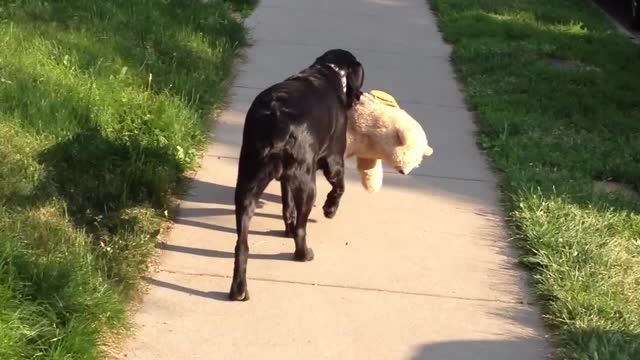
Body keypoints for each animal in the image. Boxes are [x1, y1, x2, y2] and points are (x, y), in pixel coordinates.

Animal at [230, 48, 362, 300]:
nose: (360, 97)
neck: (328, 71)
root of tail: (277, 121)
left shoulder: (286, 180)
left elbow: (286, 207)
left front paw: (287, 229)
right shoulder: (334, 160)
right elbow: (340, 187)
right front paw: (330, 209)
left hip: (248, 181)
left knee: (242, 244)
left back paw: (238, 289)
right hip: (307, 183)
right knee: (302, 227)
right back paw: (304, 254)